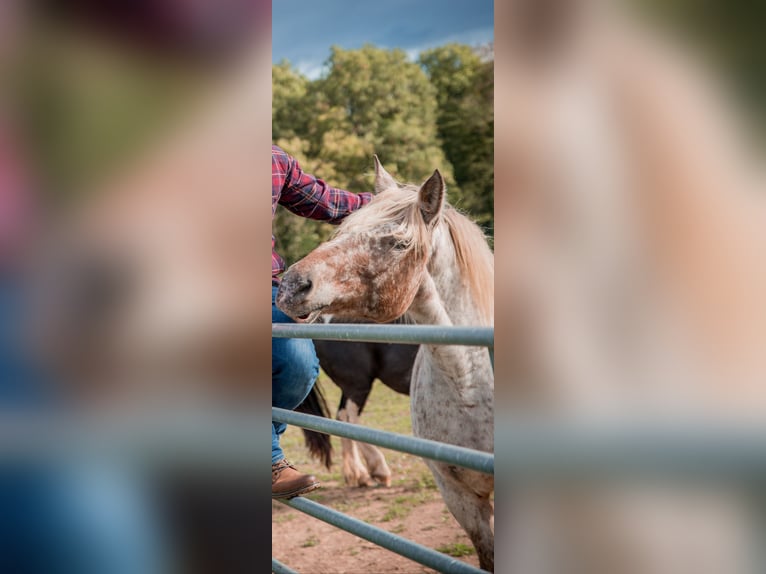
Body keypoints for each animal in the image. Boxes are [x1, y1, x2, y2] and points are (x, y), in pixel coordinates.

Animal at [296, 320, 417, 487]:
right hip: (358, 384)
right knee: (350, 420)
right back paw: (378, 469)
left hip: (350, 388)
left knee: (342, 418)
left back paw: (357, 474)